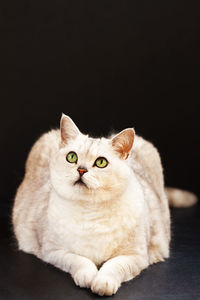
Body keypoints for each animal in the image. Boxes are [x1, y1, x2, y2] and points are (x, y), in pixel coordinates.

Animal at [11, 113, 198, 296]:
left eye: (101, 162)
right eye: (72, 157)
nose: (81, 169)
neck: (91, 211)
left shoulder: (136, 256)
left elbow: (114, 265)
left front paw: (103, 282)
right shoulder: (53, 251)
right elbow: (79, 260)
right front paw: (88, 275)